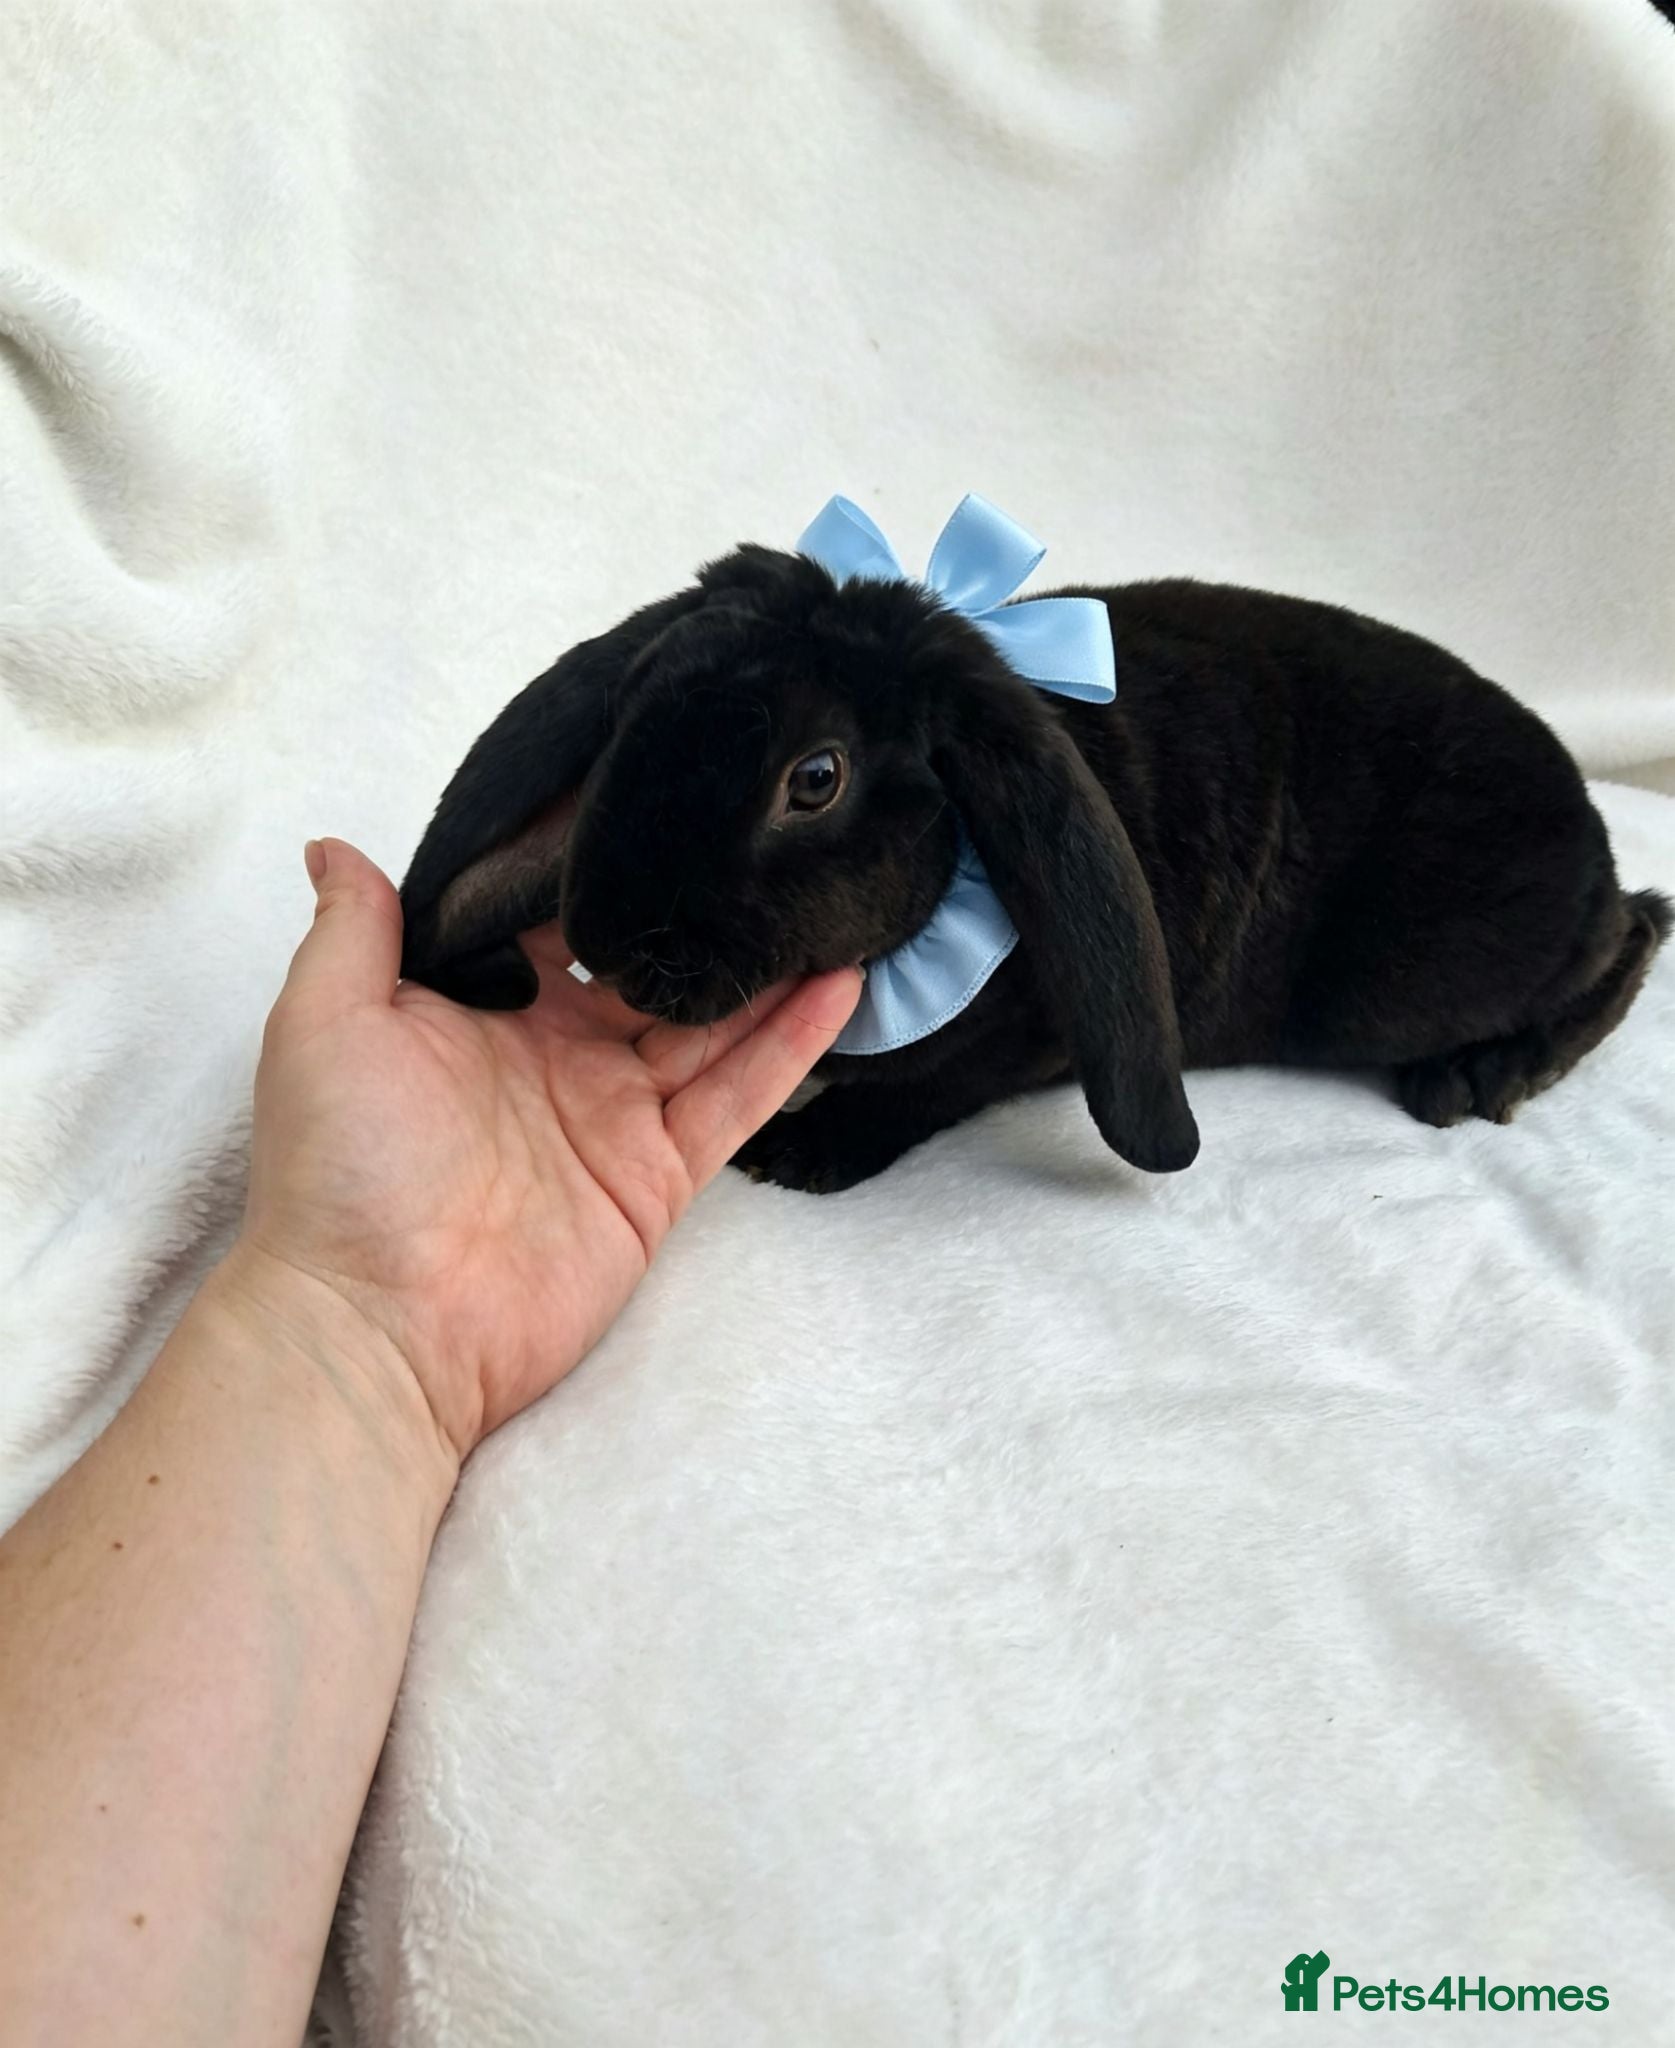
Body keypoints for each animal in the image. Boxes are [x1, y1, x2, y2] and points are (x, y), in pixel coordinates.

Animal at [397, 544, 1670, 1192]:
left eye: (815, 778)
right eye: (629, 711)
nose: (606, 944)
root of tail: (1583, 815)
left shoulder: (1029, 1039)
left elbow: (925, 1088)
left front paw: (794, 1154)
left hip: (1414, 975)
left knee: (1632, 937)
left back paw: (1475, 1077)